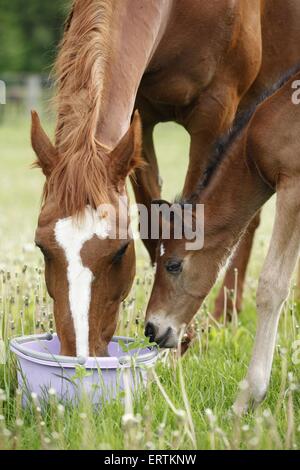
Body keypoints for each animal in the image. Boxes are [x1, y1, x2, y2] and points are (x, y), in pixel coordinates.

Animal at [31, 0, 300, 356]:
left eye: (120, 250)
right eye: (42, 247)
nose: (81, 354)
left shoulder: (215, 110)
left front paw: (179, 347)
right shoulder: (140, 117)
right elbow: (152, 226)